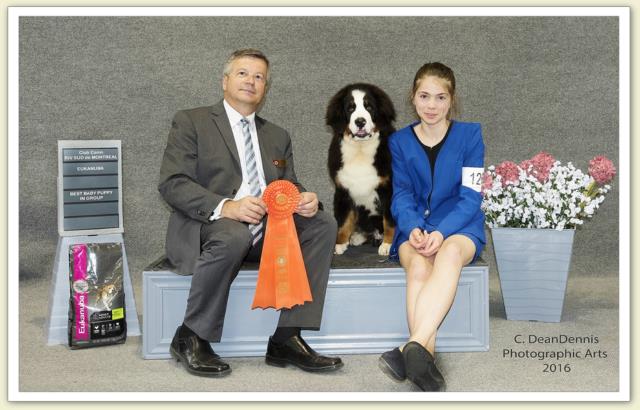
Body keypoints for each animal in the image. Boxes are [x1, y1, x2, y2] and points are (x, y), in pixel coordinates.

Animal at [328, 83, 398, 255]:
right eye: (350, 108)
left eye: (369, 107)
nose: (360, 121)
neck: (360, 150)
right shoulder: (343, 190)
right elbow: (345, 219)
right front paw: (339, 243)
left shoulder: (389, 189)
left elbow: (389, 220)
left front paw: (388, 244)